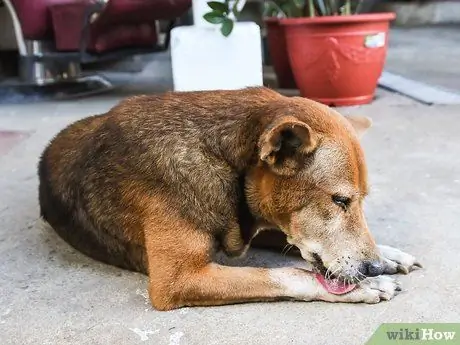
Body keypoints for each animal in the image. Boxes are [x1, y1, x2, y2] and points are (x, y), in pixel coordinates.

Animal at [39, 86, 420, 310]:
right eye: (339, 200)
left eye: (362, 200)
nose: (372, 267)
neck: (224, 161)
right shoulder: (177, 279)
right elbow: (287, 274)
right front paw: (366, 285)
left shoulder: (255, 221)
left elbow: (289, 244)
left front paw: (387, 255)